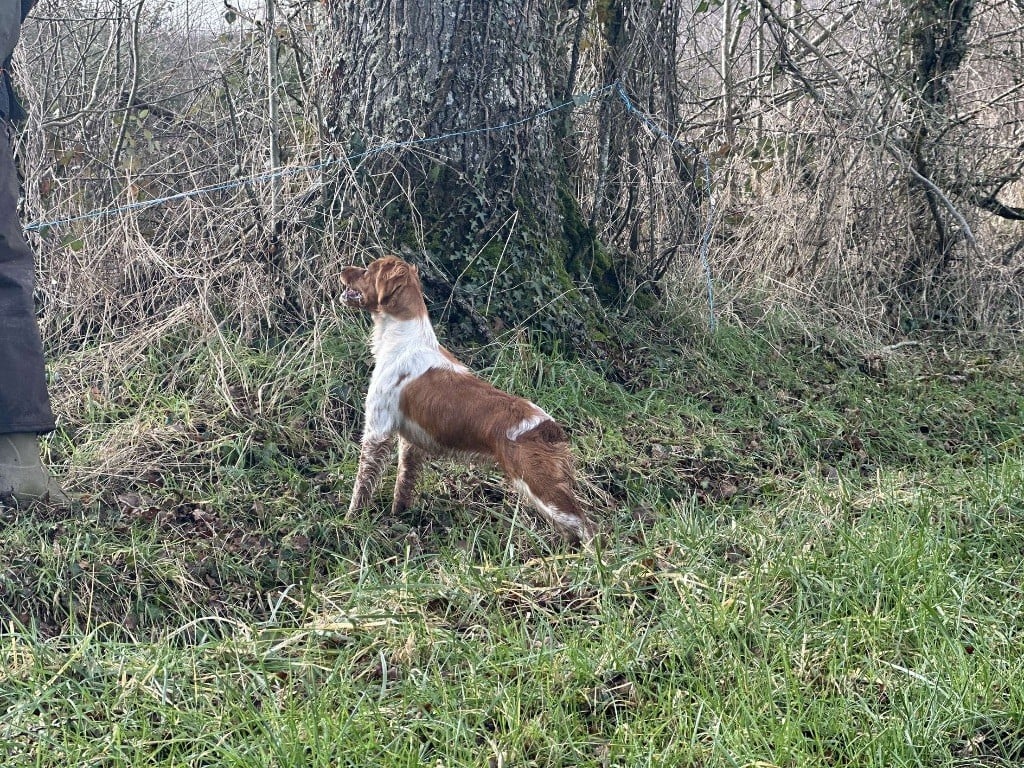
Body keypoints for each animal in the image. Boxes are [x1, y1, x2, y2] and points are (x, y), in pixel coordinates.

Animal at [339, 256, 598, 544]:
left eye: (367, 269)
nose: (342, 269)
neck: (404, 340)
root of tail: (550, 428)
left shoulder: (378, 430)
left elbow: (362, 486)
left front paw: (350, 521)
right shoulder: (410, 443)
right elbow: (404, 484)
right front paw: (400, 518)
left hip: (542, 487)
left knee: (589, 528)